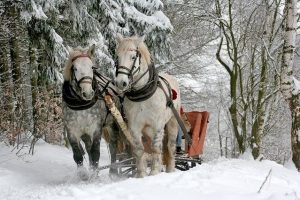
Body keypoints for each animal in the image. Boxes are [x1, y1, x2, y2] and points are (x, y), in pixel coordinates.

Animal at [114, 33, 180, 177]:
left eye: (133, 57)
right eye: (117, 57)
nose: (121, 82)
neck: (142, 96)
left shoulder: (157, 125)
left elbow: (156, 148)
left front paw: (154, 172)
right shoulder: (134, 127)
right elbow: (139, 150)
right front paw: (141, 174)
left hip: (172, 122)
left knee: (170, 147)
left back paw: (170, 169)